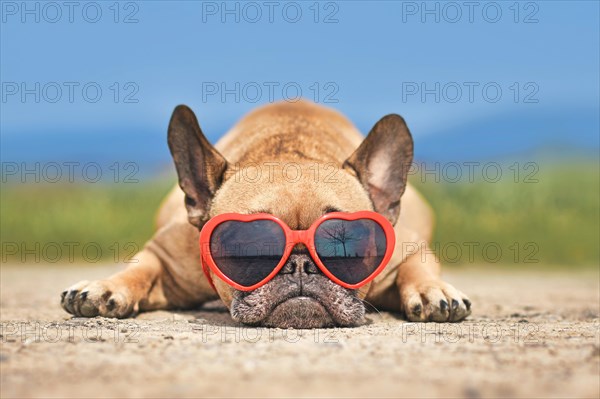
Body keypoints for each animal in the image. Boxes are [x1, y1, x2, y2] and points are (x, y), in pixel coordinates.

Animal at [62, 101, 474, 328]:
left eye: (346, 247)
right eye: (249, 245)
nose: (300, 264)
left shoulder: (407, 245)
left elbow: (416, 265)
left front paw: (433, 289)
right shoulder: (170, 254)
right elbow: (141, 267)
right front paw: (106, 286)